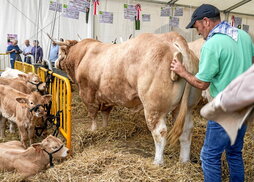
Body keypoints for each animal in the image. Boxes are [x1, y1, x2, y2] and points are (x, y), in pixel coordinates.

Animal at [54, 32, 201, 165]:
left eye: (60, 51)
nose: (55, 62)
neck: (82, 55)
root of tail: (172, 37)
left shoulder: (87, 92)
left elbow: (93, 114)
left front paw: (93, 130)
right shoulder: (107, 97)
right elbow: (105, 114)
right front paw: (104, 128)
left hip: (154, 107)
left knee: (160, 132)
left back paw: (158, 161)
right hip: (185, 107)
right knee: (187, 130)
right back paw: (184, 161)